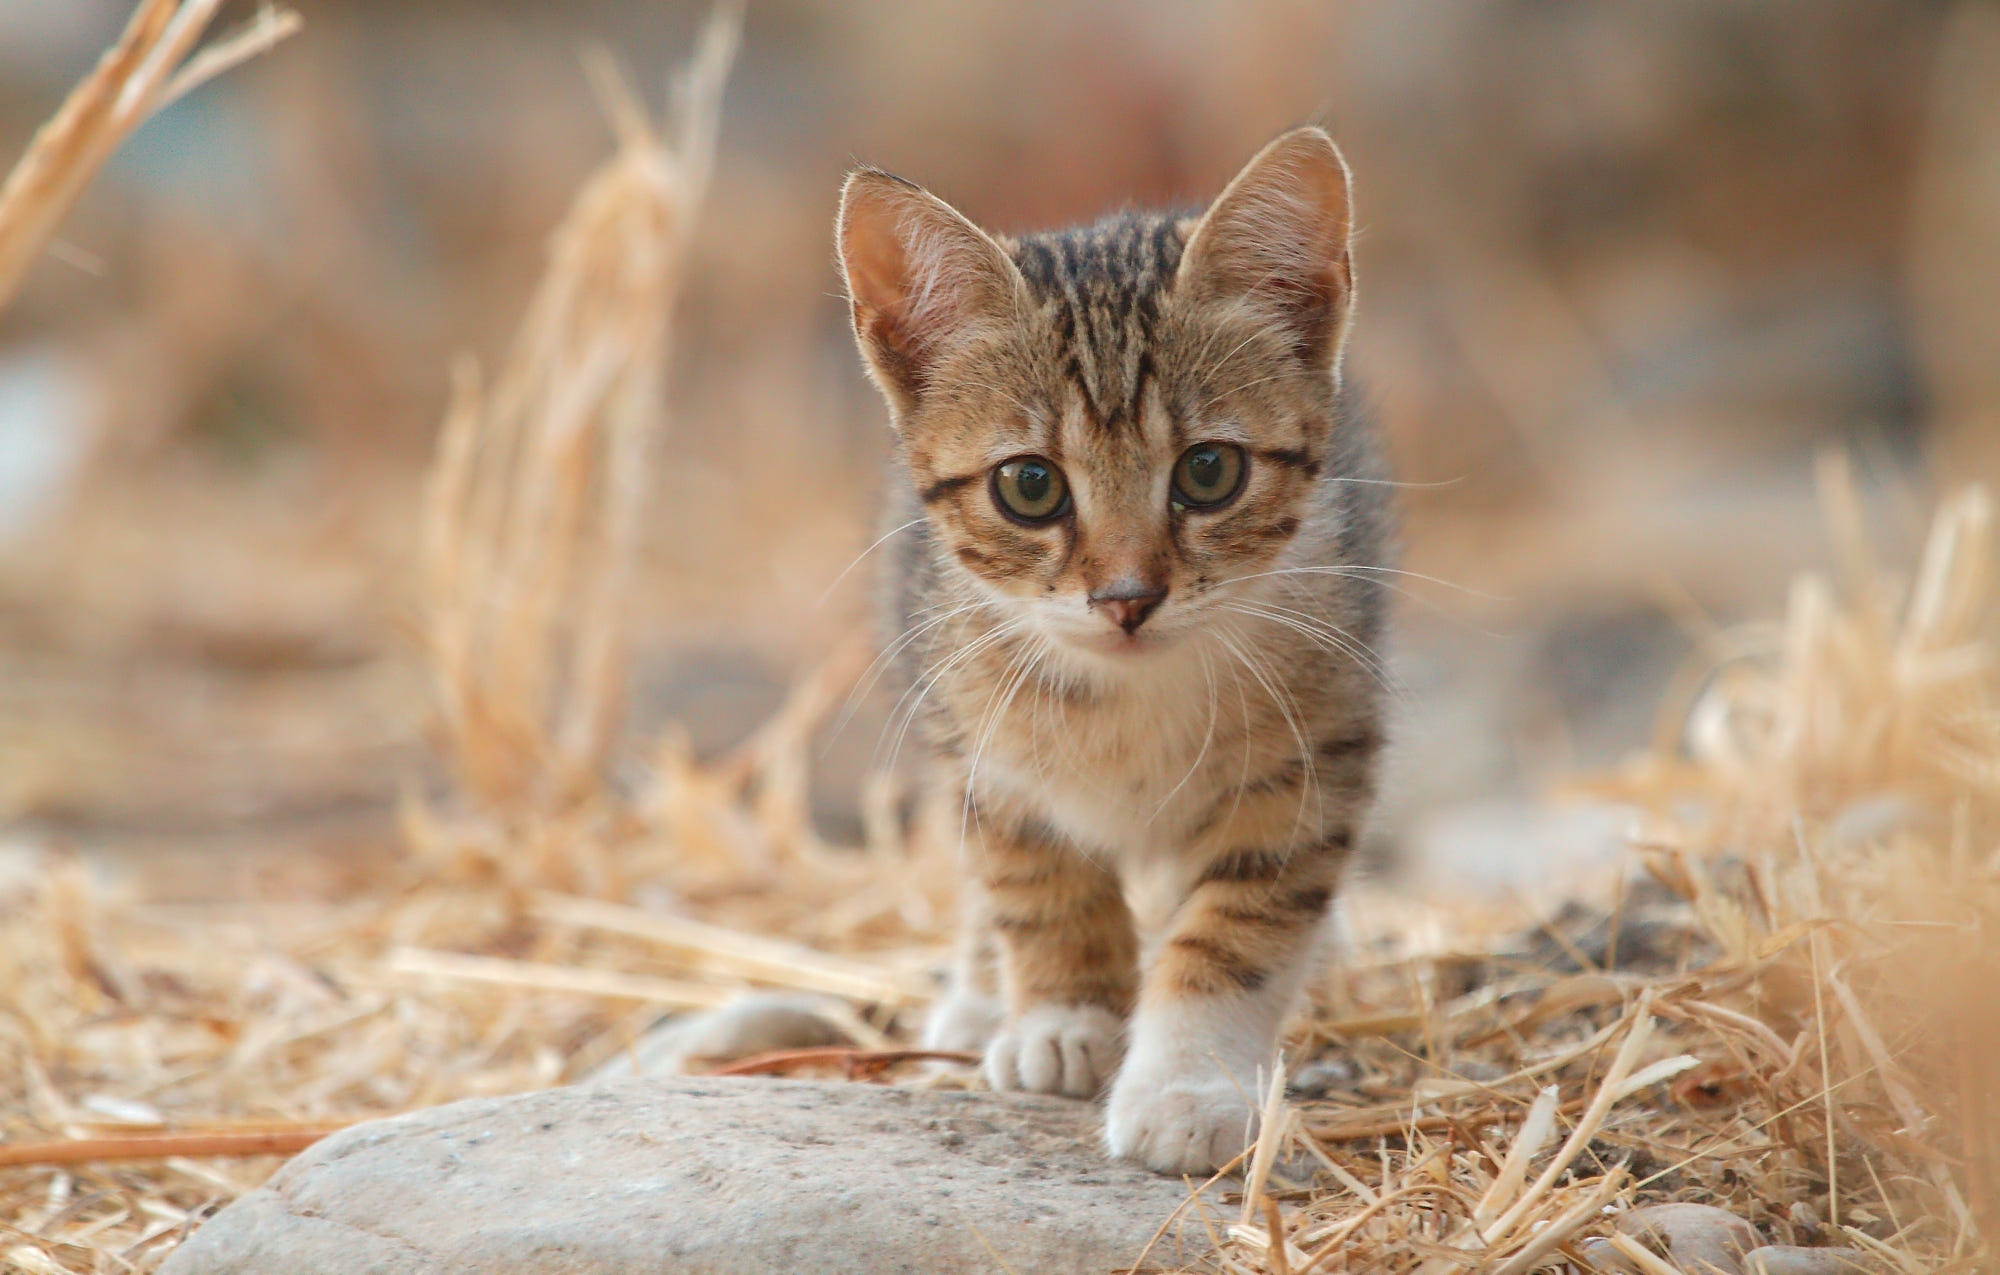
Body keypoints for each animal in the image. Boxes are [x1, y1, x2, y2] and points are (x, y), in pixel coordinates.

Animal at [836, 129, 1384, 1183]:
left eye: (1209, 471)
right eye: (1030, 487)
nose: (1128, 597)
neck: (1131, 692)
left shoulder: (1313, 751)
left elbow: (1238, 926)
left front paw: (1189, 1082)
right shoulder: (986, 752)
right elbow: (1035, 883)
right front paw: (1065, 1015)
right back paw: (982, 998)